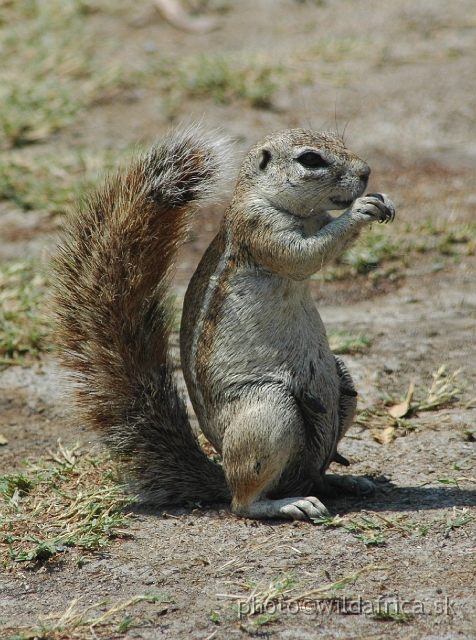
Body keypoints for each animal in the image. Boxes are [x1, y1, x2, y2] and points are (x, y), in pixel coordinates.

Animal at [51, 124, 394, 520]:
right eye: (311, 159)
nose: (367, 172)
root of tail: (224, 475)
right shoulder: (259, 229)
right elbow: (304, 256)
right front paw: (360, 211)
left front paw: (383, 200)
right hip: (268, 411)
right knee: (243, 502)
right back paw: (286, 503)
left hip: (340, 380)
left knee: (312, 473)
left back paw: (341, 481)